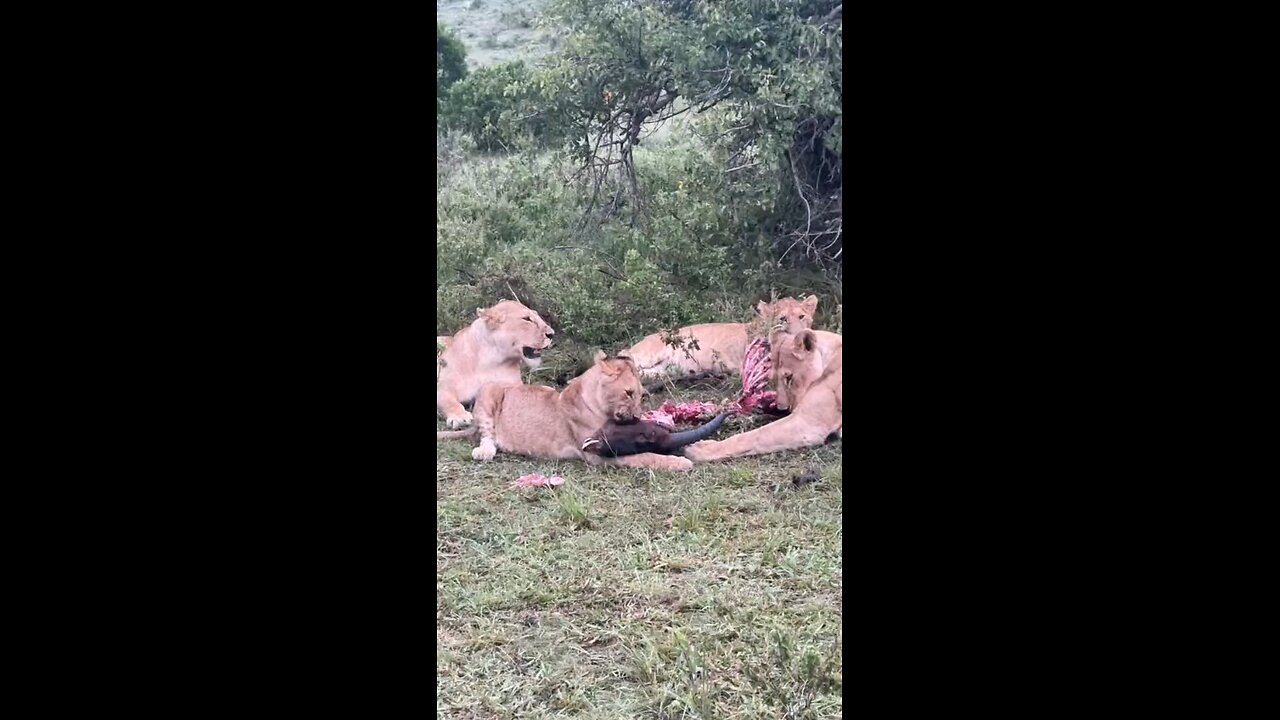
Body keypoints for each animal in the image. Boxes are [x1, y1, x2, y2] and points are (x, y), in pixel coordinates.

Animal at [435, 348, 696, 471]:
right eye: (628, 393)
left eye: (641, 395)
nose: (637, 417)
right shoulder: (596, 453)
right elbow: (644, 456)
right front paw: (680, 463)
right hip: (490, 389)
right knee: (486, 435)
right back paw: (486, 451)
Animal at [437, 297, 552, 425]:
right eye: (527, 319)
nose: (551, 334)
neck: (491, 360)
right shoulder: (444, 385)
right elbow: (447, 400)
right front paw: (460, 416)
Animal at [680, 330, 839, 461]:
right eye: (772, 379)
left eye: (789, 377)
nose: (782, 409)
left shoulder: (807, 423)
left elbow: (753, 436)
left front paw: (700, 448)